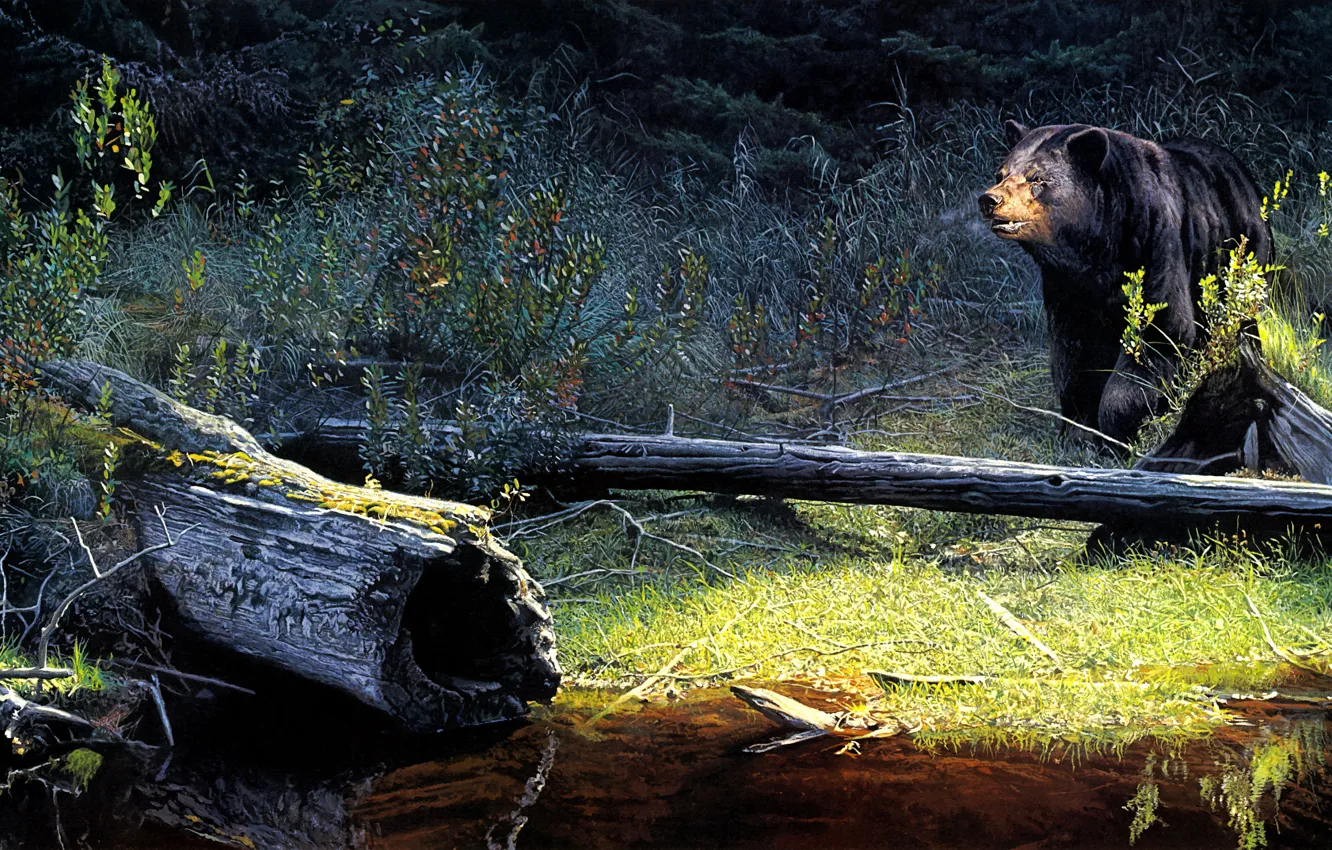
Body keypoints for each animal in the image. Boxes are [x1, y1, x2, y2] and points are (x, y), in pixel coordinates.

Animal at [978, 121, 1273, 444]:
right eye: (1001, 173)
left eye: (1037, 178)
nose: (989, 199)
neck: (1099, 244)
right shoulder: (1066, 286)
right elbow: (1074, 353)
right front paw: (1077, 431)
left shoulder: (1155, 245)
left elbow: (1161, 334)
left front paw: (1117, 434)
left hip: (1243, 252)